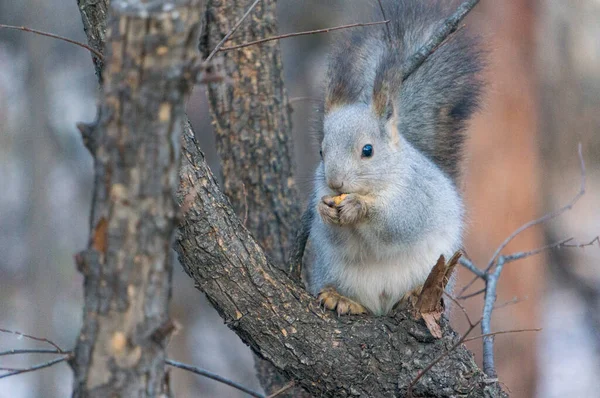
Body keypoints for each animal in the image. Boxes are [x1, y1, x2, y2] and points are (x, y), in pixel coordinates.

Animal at [308, 0, 486, 318]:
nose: (335, 183)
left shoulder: (417, 195)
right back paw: (340, 298)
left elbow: (399, 222)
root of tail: (382, 305)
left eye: (368, 150)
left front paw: (358, 208)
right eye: (321, 151)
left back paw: (413, 293)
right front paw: (324, 210)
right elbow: (332, 234)